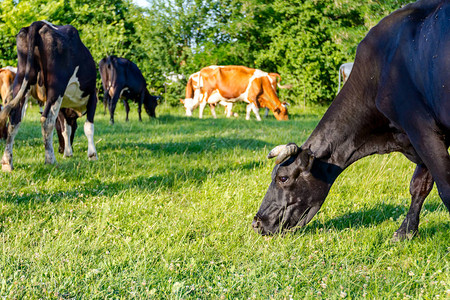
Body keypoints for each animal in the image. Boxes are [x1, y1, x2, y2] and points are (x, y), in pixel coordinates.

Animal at [0, 19, 98, 171]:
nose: (61, 150)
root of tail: (39, 23)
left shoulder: (63, 106)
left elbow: (65, 129)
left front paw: (68, 152)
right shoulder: (93, 95)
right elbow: (88, 127)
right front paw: (92, 154)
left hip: (22, 81)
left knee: (14, 119)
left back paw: (6, 162)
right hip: (56, 86)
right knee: (46, 120)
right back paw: (50, 160)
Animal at [253, 0, 450, 240]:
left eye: (282, 178)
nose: (257, 222)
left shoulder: (420, 128)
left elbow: (445, 187)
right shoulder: (420, 136)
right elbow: (419, 185)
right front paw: (405, 231)